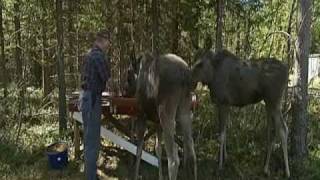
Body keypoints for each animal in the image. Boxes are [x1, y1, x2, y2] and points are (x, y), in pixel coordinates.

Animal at [192, 49, 290, 177]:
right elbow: (225, 131)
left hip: (274, 101)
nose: (189, 77)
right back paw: (265, 168)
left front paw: (220, 165)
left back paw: (287, 172)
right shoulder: (227, 104)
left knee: (283, 129)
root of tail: (287, 70)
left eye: (200, 64)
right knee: (272, 132)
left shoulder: (223, 103)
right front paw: (226, 158)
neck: (212, 77)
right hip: (269, 104)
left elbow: (221, 135)